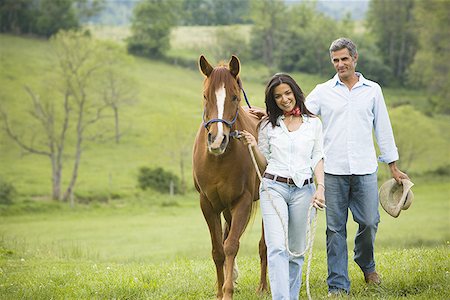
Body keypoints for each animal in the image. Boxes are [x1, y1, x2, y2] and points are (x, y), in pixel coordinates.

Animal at [192, 55, 268, 298]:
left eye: (234, 96)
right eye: (205, 96)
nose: (217, 140)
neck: (219, 161)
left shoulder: (242, 202)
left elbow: (232, 245)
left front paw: (227, 292)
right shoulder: (208, 204)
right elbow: (218, 249)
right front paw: (219, 291)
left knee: (264, 246)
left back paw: (263, 287)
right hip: (225, 208)